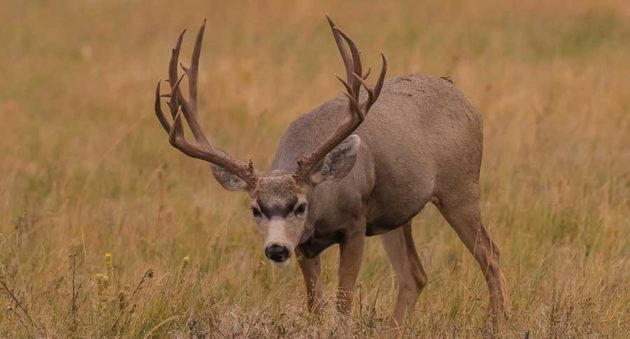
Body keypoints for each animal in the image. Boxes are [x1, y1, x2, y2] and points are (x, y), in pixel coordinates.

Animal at [156, 17, 512, 328]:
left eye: (301, 205)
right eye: (255, 208)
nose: (276, 249)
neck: (324, 203)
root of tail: (466, 100)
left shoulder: (355, 224)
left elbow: (343, 301)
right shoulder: (304, 245)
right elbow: (315, 304)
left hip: (460, 188)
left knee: (490, 255)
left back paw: (496, 324)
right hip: (395, 216)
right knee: (415, 275)